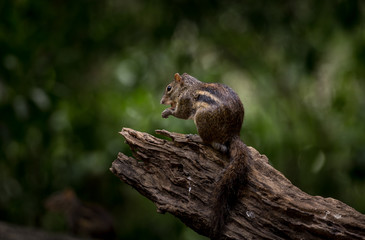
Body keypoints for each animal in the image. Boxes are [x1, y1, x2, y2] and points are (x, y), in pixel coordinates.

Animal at [160, 72, 250, 239]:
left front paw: (168, 112)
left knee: (209, 142)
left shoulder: (186, 101)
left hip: (202, 118)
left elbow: (181, 114)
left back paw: (196, 138)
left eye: (169, 88)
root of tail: (233, 133)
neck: (188, 87)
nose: (162, 101)